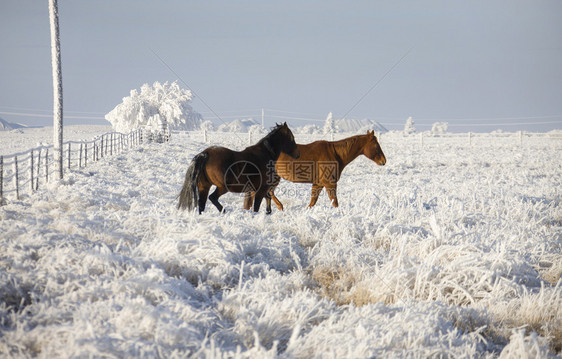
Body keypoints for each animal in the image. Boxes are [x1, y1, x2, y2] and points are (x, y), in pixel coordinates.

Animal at [243, 131, 382, 212]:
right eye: (376, 145)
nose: (383, 161)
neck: (335, 154)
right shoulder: (330, 183)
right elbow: (334, 202)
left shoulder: (318, 183)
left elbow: (313, 201)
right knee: (266, 192)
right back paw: (278, 207)